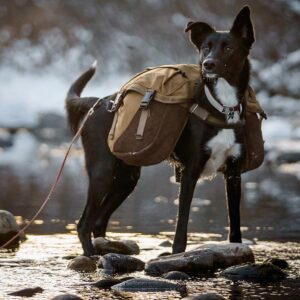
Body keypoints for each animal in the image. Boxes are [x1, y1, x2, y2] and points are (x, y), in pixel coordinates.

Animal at [65, 6, 255, 255]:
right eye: (206, 48)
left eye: (229, 48)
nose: (208, 64)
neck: (221, 107)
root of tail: (98, 102)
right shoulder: (190, 171)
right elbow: (181, 224)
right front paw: (177, 254)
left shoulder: (233, 174)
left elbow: (235, 223)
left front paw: (237, 249)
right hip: (102, 172)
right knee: (84, 223)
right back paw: (91, 255)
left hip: (126, 178)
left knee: (98, 221)